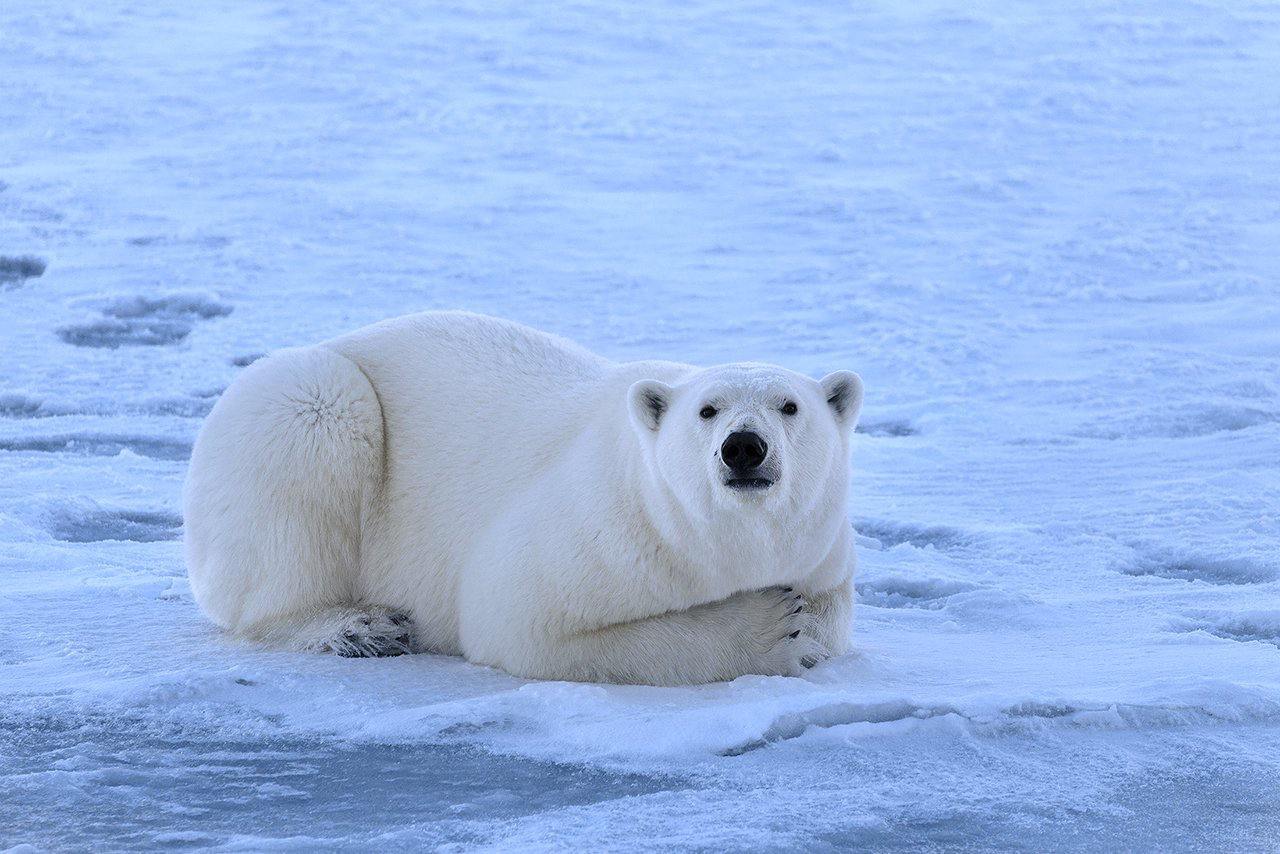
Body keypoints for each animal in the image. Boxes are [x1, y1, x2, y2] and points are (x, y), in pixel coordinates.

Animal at [185, 311, 865, 686]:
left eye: (790, 406)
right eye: (708, 409)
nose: (744, 447)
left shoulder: (821, 548)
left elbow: (830, 614)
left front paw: (801, 627)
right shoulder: (609, 526)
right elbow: (522, 619)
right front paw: (772, 630)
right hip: (304, 402)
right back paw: (357, 626)